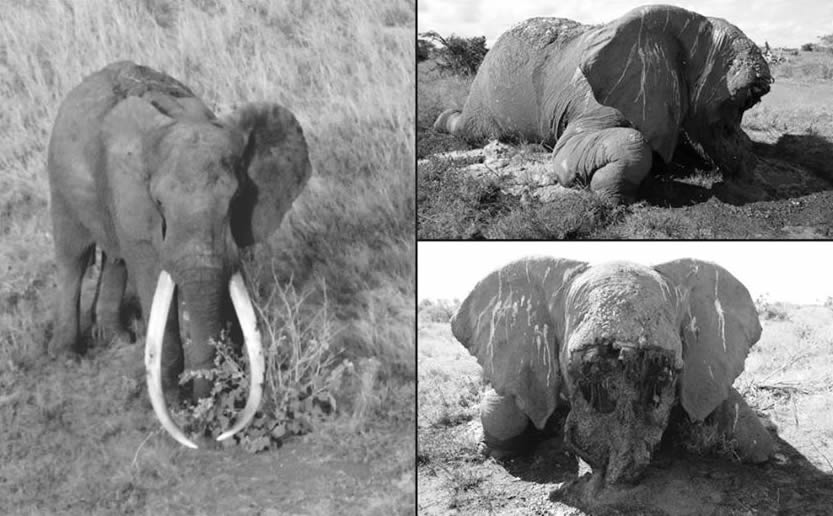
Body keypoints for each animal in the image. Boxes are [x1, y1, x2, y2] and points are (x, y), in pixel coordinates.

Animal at [47, 61, 312, 448]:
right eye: (159, 203)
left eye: (235, 199)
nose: (209, 431)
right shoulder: (134, 198)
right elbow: (152, 278)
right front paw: (176, 404)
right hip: (61, 178)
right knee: (74, 257)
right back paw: (68, 357)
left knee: (115, 258)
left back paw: (118, 340)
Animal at [433, 5, 772, 202]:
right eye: (738, 101)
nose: (750, 179)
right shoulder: (602, 100)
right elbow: (590, 149)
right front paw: (609, 194)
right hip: (487, 91)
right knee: (472, 130)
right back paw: (442, 121)